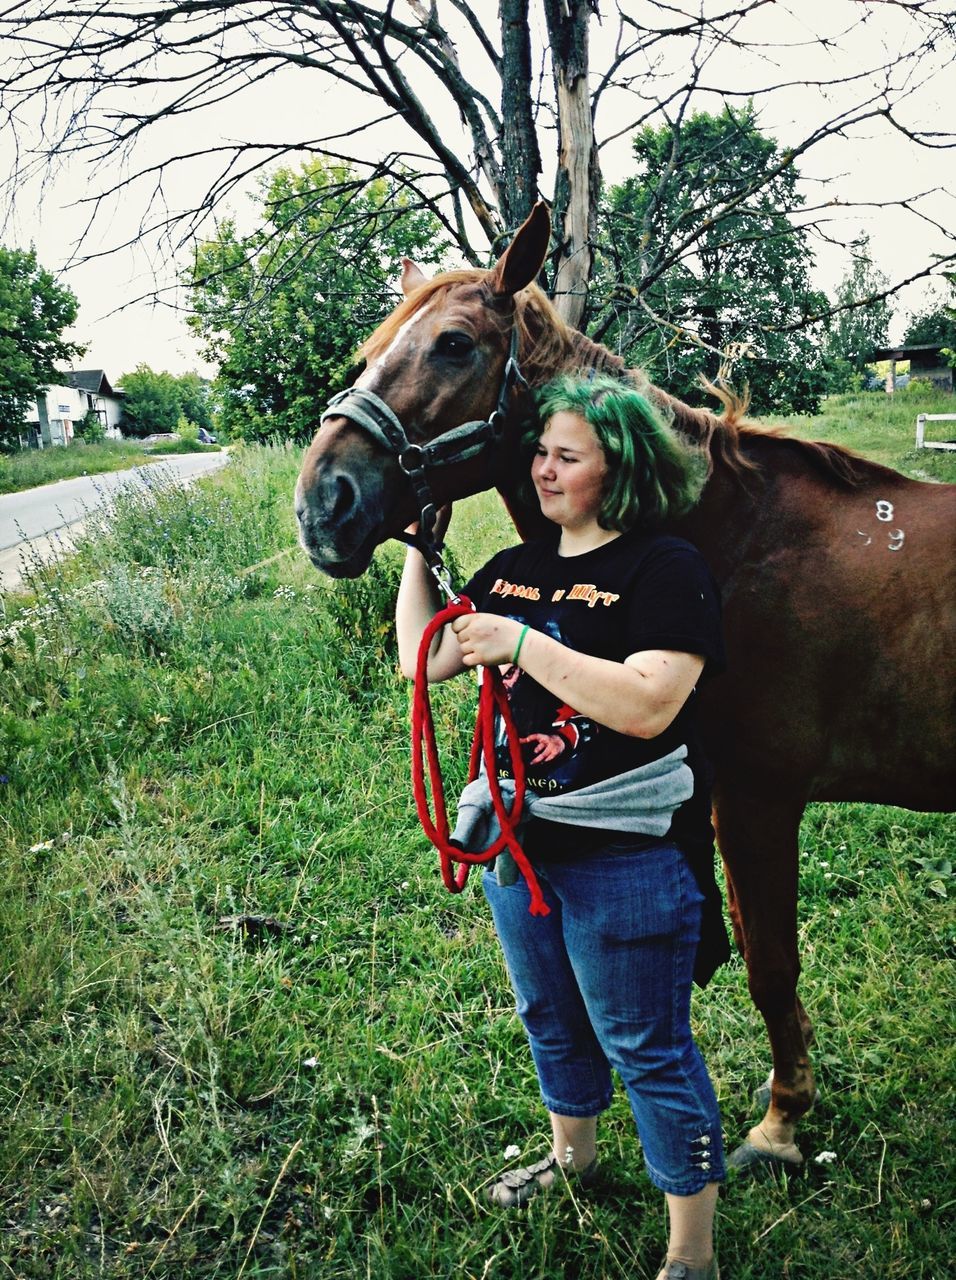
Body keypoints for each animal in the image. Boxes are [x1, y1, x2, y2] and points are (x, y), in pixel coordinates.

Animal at [296, 199, 956, 1172]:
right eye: (370, 352)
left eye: (453, 345)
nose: (322, 506)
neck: (737, 544)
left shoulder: (758, 797)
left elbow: (771, 966)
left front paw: (780, 1122)